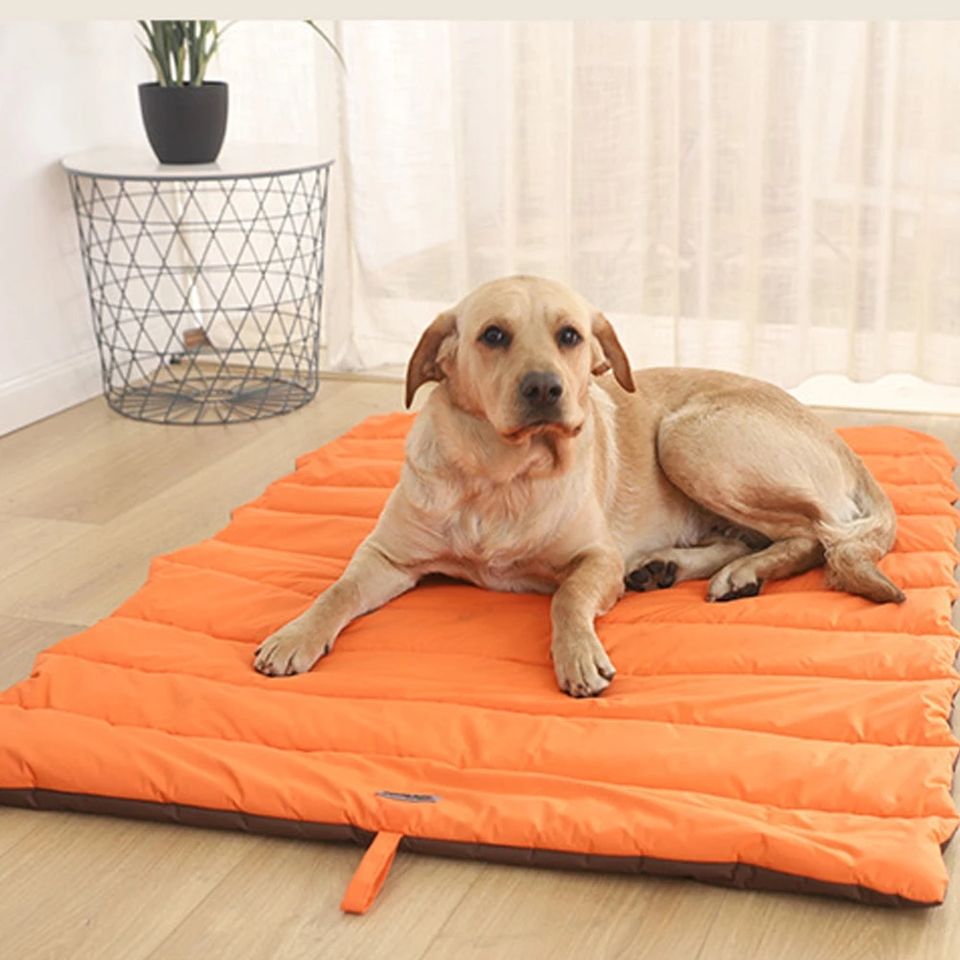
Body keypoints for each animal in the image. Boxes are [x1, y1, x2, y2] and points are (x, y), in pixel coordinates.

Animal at [254, 275, 903, 697]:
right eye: (493, 335)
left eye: (569, 335)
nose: (545, 388)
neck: (501, 477)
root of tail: (841, 442)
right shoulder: (386, 556)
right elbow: (336, 592)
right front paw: (295, 635)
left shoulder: (595, 559)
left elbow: (566, 598)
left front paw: (578, 654)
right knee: (755, 537)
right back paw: (670, 566)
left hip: (686, 437)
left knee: (814, 534)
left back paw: (737, 574)